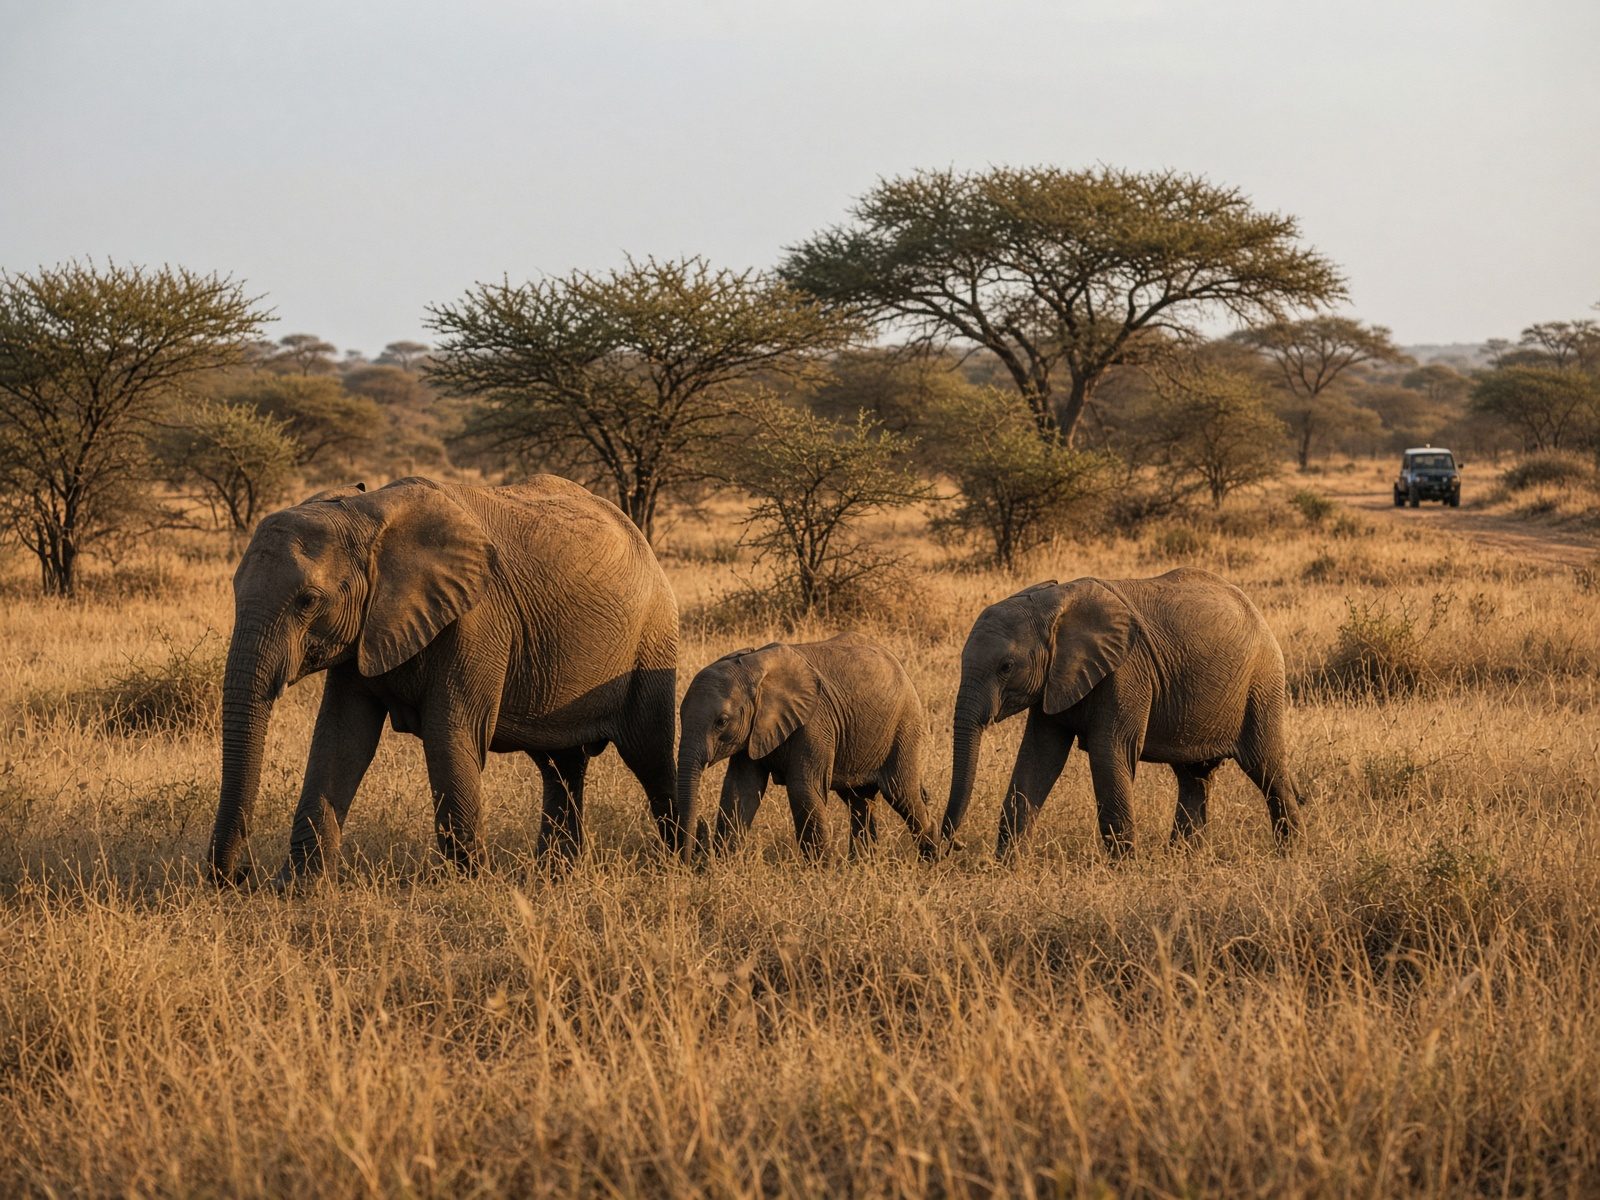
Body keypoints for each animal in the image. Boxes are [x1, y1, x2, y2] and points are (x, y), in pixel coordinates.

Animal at [208, 474, 680, 888]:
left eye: (308, 601)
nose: (239, 875)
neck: (367, 514)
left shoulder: (476, 619)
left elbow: (449, 734)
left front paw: (469, 885)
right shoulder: (363, 629)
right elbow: (341, 740)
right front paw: (296, 889)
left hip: (652, 636)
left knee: (650, 755)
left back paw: (678, 862)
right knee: (560, 767)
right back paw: (553, 877)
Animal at [675, 634, 942, 861]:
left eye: (721, 722)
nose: (688, 863)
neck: (753, 666)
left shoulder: (814, 722)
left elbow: (802, 789)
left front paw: (820, 873)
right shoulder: (752, 731)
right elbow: (740, 789)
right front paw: (724, 866)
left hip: (904, 725)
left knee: (901, 793)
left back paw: (931, 861)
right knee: (859, 801)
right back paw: (862, 866)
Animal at [941, 568, 1301, 859]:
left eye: (1006, 667)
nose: (952, 846)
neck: (1052, 604)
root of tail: (1255, 610)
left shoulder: (1126, 671)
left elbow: (1109, 753)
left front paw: (1125, 870)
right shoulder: (1056, 679)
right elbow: (1038, 758)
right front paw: (1007, 866)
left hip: (1261, 685)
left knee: (1266, 768)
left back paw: (1289, 855)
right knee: (1193, 778)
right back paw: (1183, 861)